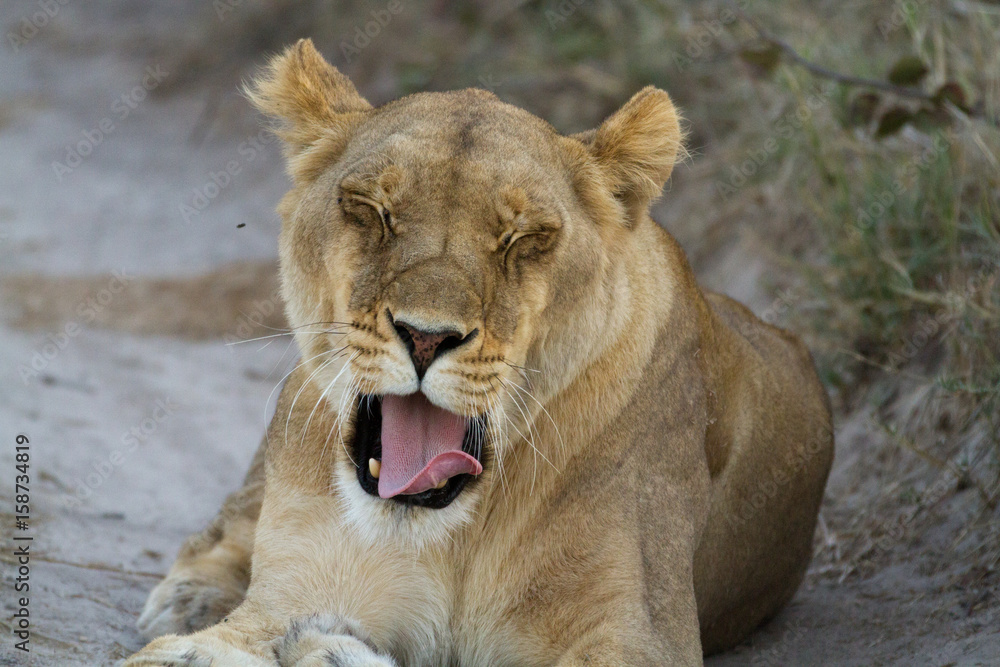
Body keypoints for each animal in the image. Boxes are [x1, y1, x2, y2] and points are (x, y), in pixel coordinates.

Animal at [128, 39, 833, 666]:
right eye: (371, 210)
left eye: (525, 237)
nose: (426, 335)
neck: (455, 536)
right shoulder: (294, 594)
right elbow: (217, 641)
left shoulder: (639, 633)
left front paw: (326, 651)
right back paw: (189, 596)